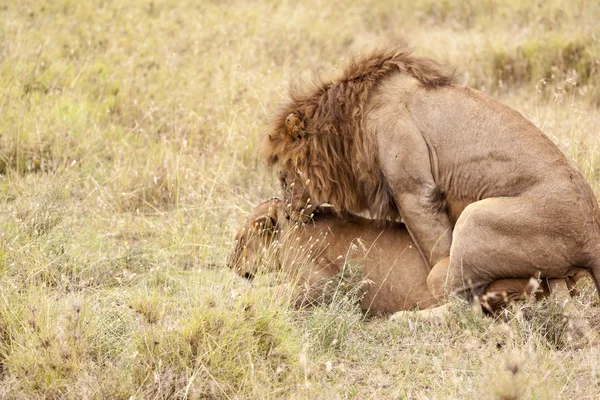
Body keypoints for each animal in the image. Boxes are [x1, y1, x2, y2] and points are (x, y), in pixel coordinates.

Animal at [262, 47, 600, 304]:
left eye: (283, 176)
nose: (287, 212)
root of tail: (593, 235)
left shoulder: (415, 190)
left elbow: (434, 247)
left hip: (477, 218)